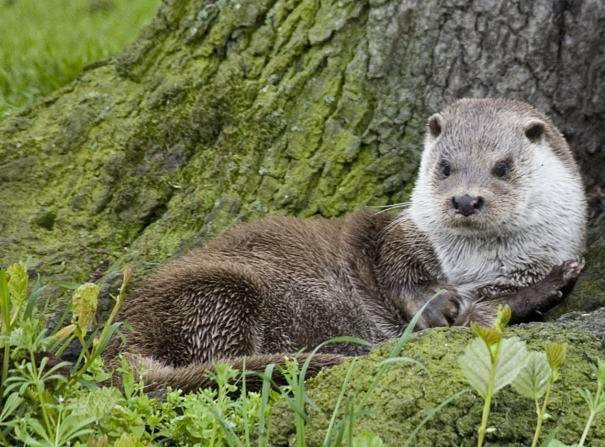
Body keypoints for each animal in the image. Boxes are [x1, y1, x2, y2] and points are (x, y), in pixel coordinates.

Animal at [104, 99, 584, 392]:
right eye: (445, 167)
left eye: (502, 167)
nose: (466, 199)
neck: (473, 267)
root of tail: (124, 335)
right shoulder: (398, 232)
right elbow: (395, 268)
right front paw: (432, 305)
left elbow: (490, 312)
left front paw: (552, 282)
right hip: (219, 290)